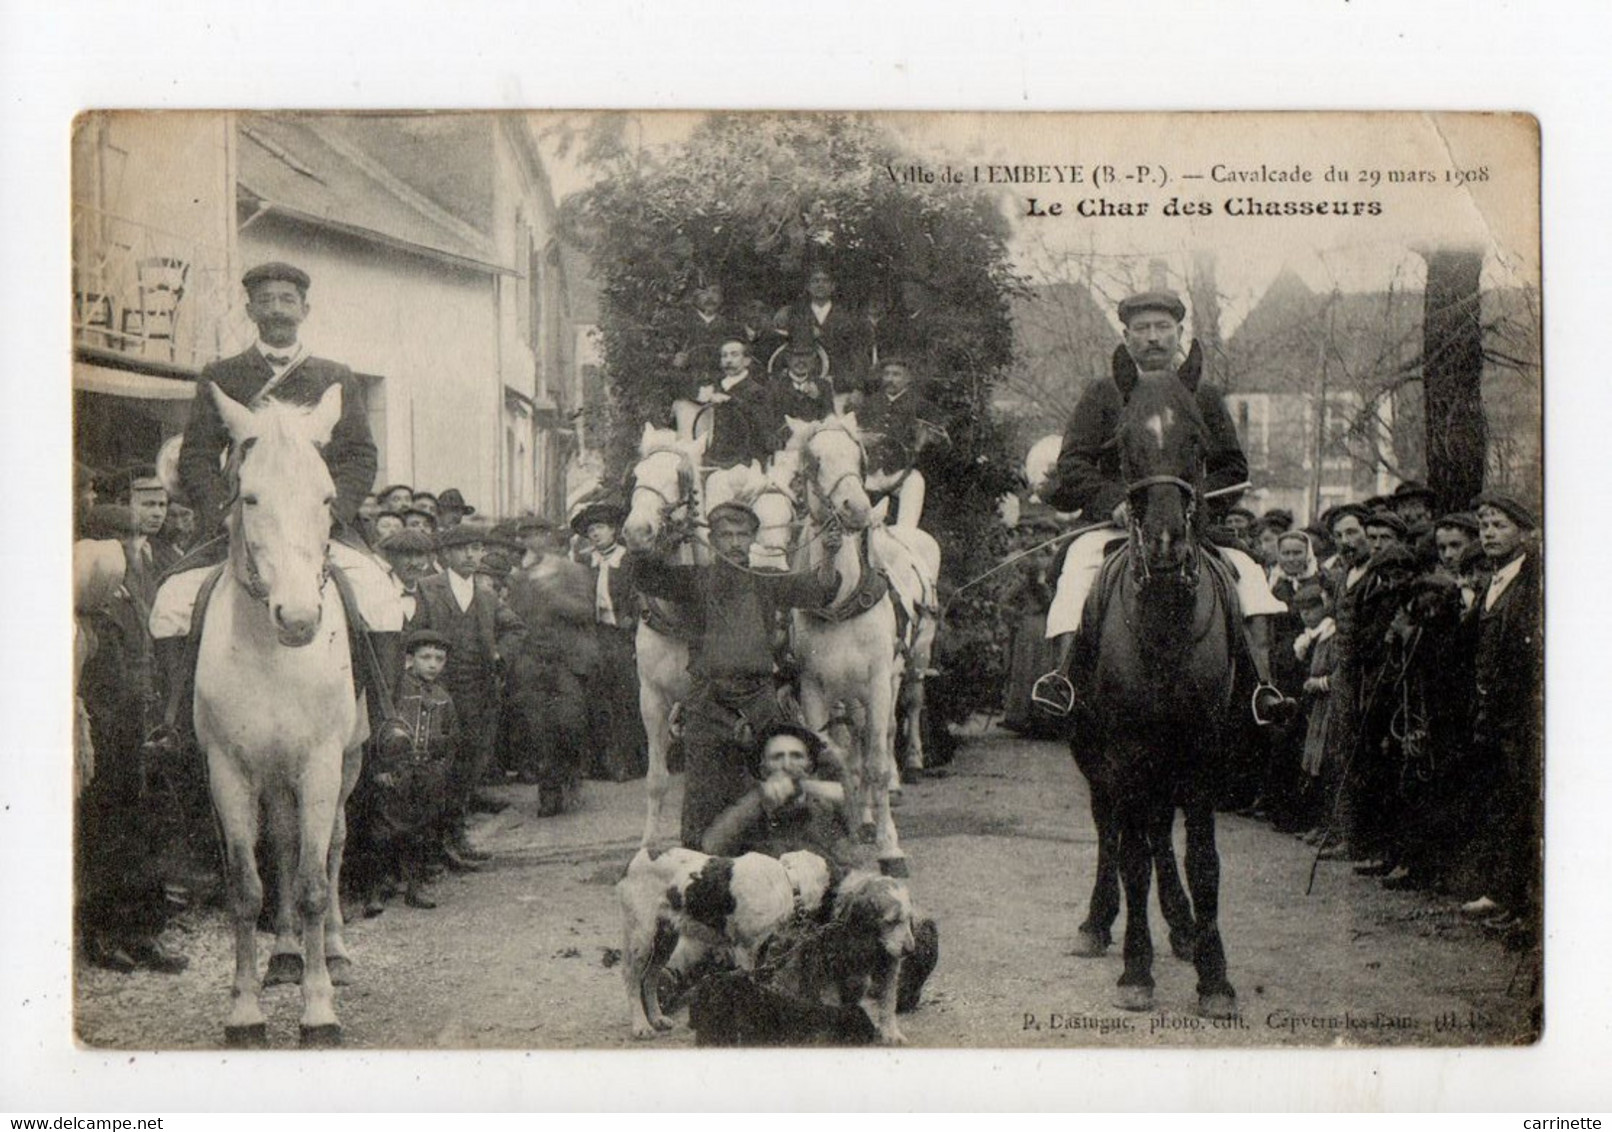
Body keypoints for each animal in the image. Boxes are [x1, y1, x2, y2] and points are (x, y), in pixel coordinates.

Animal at [198, 385, 369, 1051]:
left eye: (326, 496)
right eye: (249, 497)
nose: (297, 619)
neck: (273, 655)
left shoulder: (320, 766)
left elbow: (315, 883)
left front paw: (319, 1010)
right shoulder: (228, 772)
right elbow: (247, 890)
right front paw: (245, 1010)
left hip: (346, 764)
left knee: (333, 846)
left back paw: (335, 954)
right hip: (272, 779)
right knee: (283, 845)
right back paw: (288, 954)